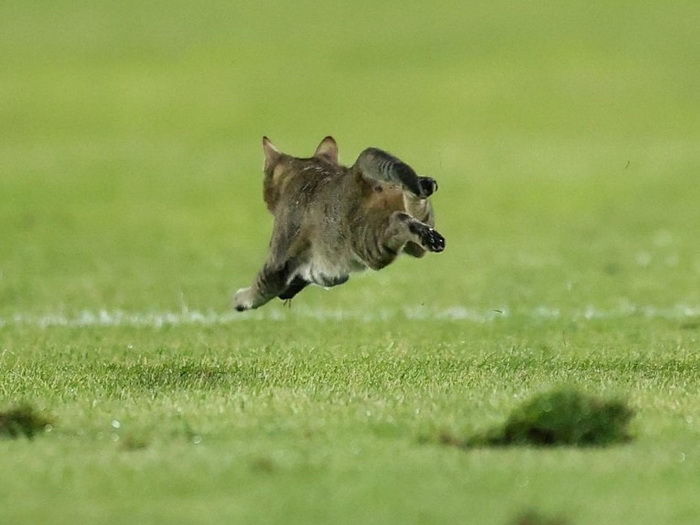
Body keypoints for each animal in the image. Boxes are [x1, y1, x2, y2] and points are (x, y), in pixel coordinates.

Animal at [232, 136, 446, 312]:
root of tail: (357, 170)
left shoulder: (277, 262)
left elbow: (261, 285)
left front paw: (240, 300)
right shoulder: (327, 271)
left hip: (369, 243)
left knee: (400, 220)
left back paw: (427, 235)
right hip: (414, 235)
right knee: (416, 203)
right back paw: (425, 192)